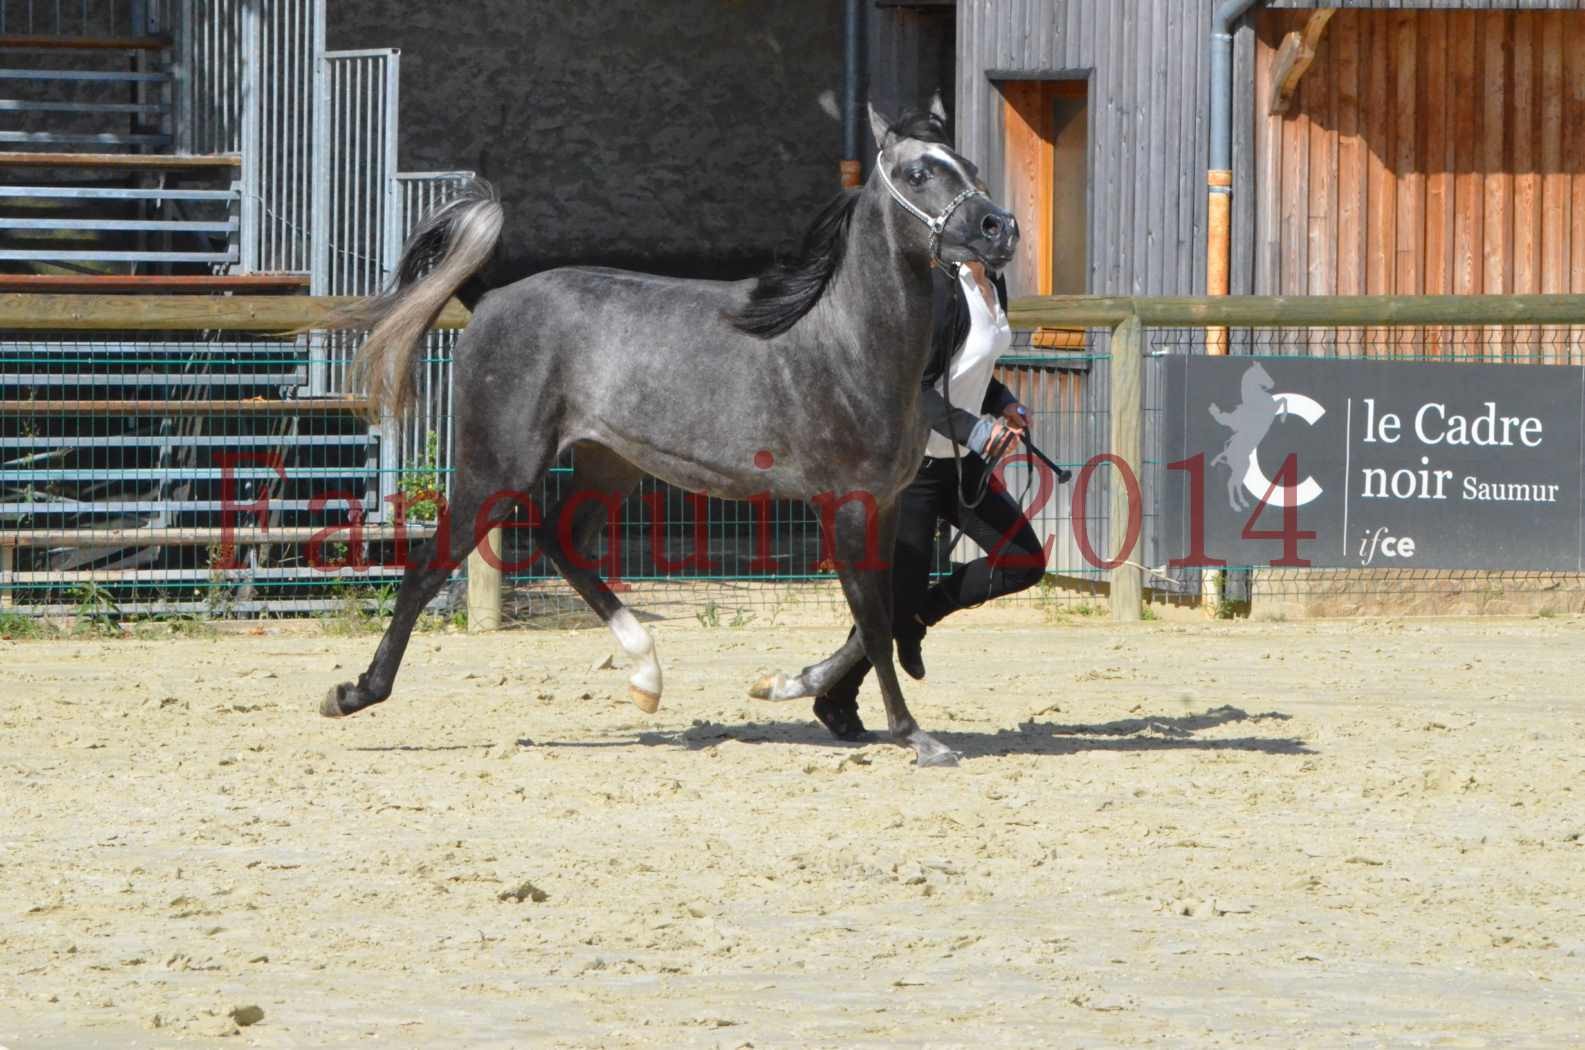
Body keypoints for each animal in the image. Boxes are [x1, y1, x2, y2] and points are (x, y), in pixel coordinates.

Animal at [318, 103, 1014, 770]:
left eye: (971, 166)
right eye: (918, 173)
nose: (998, 228)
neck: (847, 344)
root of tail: (489, 302)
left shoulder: (888, 504)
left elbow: (883, 616)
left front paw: (785, 685)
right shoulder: (842, 504)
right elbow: (872, 622)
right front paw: (916, 737)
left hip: (608, 463)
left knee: (559, 540)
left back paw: (647, 676)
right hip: (498, 468)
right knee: (426, 567)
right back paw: (351, 694)